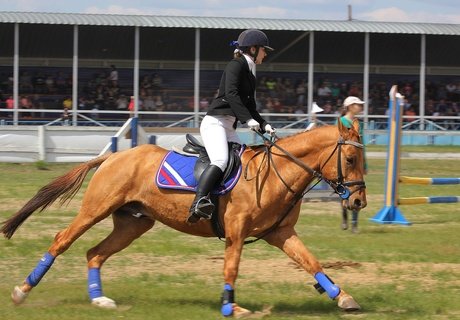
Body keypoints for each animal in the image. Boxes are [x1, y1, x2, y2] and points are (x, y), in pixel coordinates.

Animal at [0, 120, 366, 318]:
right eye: (350, 158)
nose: (359, 201)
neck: (275, 173)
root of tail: (113, 157)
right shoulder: (236, 231)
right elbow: (231, 268)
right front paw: (230, 307)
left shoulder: (281, 233)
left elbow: (312, 262)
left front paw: (344, 297)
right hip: (95, 210)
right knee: (62, 240)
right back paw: (22, 291)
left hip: (134, 223)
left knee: (95, 253)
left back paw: (99, 299)